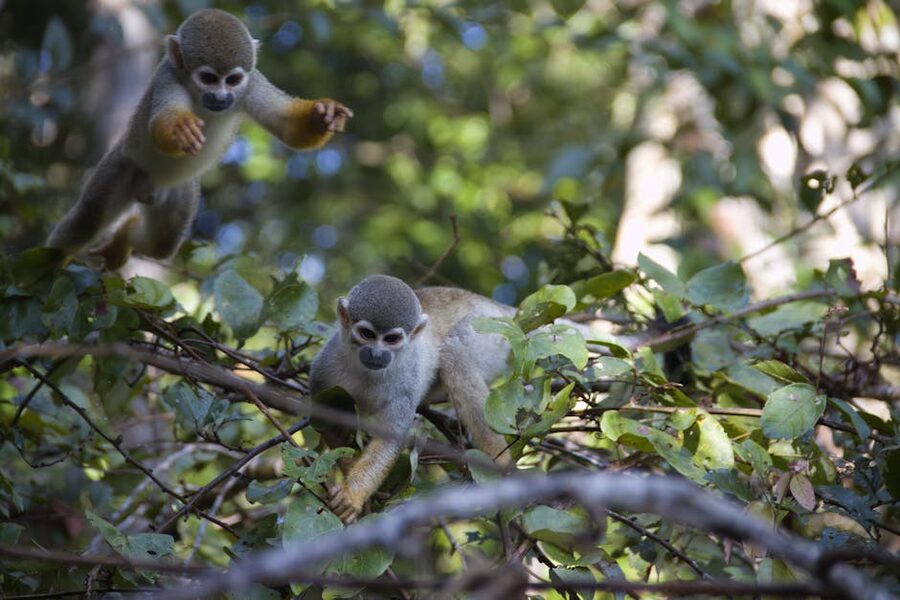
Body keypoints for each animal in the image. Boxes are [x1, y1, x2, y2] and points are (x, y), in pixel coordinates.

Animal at [46, 9, 353, 269]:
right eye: (208, 78)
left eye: (232, 80)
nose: (221, 97)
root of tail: (146, 188)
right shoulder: (167, 76)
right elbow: (160, 125)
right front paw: (180, 128)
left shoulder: (251, 83)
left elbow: (286, 126)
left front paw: (322, 116)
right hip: (121, 167)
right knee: (86, 221)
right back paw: (47, 270)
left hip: (178, 192)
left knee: (162, 244)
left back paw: (124, 235)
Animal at [309, 275, 516, 523]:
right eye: (367, 334)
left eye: (392, 339)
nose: (377, 354)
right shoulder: (324, 366)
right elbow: (327, 422)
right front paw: (350, 471)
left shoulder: (406, 383)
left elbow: (389, 438)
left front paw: (352, 495)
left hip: (488, 329)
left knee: (454, 354)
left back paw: (499, 461)